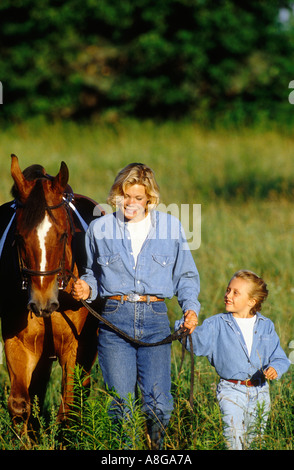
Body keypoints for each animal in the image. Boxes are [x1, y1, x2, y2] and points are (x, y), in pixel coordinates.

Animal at [0, 156, 103, 432]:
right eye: (19, 237)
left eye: (63, 234)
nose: (42, 303)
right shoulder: (19, 343)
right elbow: (20, 406)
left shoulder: (74, 347)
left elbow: (68, 411)